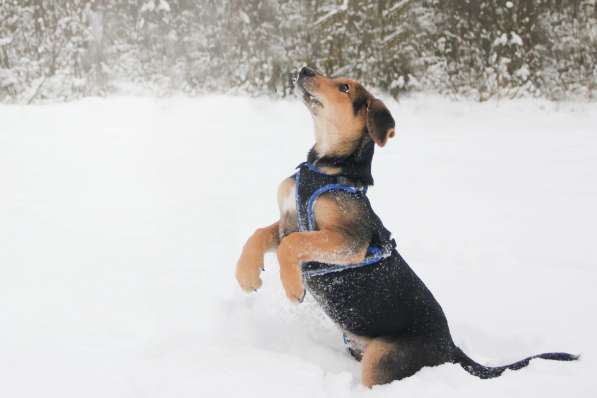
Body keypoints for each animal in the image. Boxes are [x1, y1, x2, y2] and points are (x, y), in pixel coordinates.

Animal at [234, 67, 576, 388]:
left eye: (344, 87)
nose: (305, 69)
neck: (328, 168)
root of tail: (450, 346)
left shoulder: (350, 241)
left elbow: (291, 246)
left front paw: (293, 287)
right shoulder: (288, 221)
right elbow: (258, 235)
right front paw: (246, 275)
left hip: (380, 359)